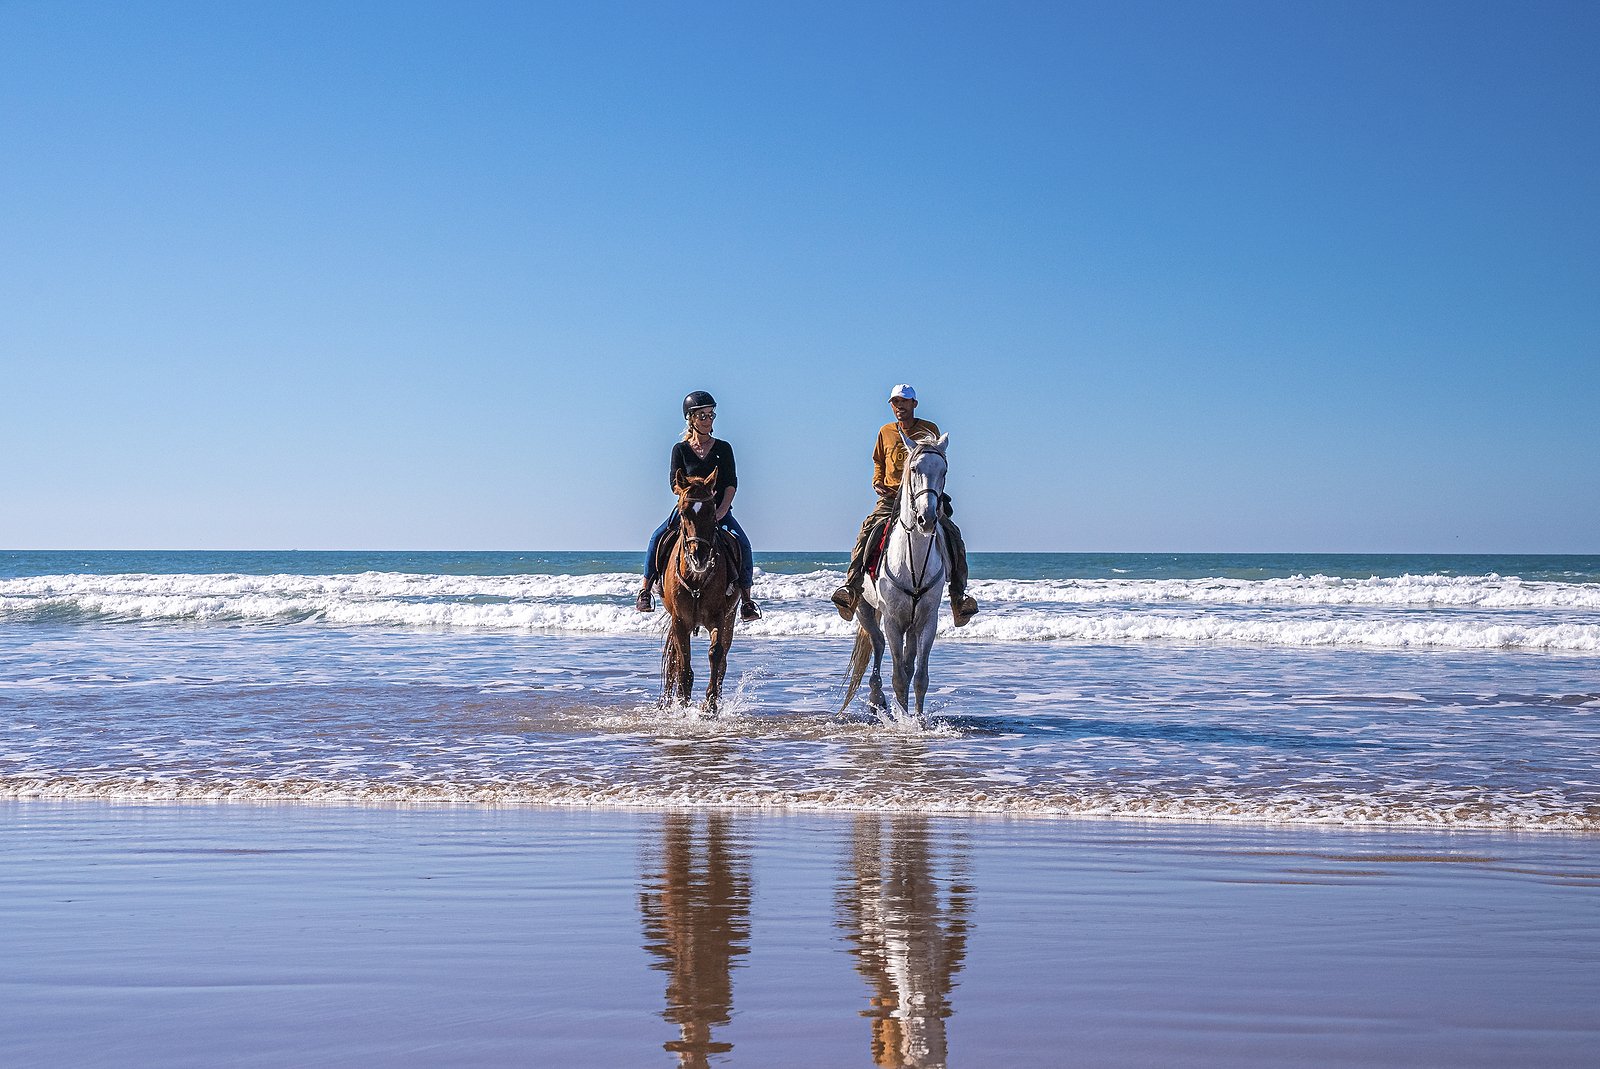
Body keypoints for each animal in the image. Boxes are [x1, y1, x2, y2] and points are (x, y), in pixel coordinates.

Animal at [659, 468, 742, 714]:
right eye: (683, 513)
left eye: (713, 512)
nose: (700, 557)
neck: (696, 579)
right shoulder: (679, 621)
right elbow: (683, 663)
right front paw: (683, 704)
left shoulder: (718, 617)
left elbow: (715, 654)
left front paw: (710, 705)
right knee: (676, 661)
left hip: (731, 617)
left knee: (723, 659)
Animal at [841, 434, 950, 722]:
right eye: (914, 469)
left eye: (943, 471)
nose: (926, 519)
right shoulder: (892, 621)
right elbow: (899, 676)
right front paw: (902, 721)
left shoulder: (927, 621)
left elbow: (919, 677)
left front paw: (918, 721)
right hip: (865, 610)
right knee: (878, 644)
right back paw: (876, 699)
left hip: (911, 626)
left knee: (908, 663)